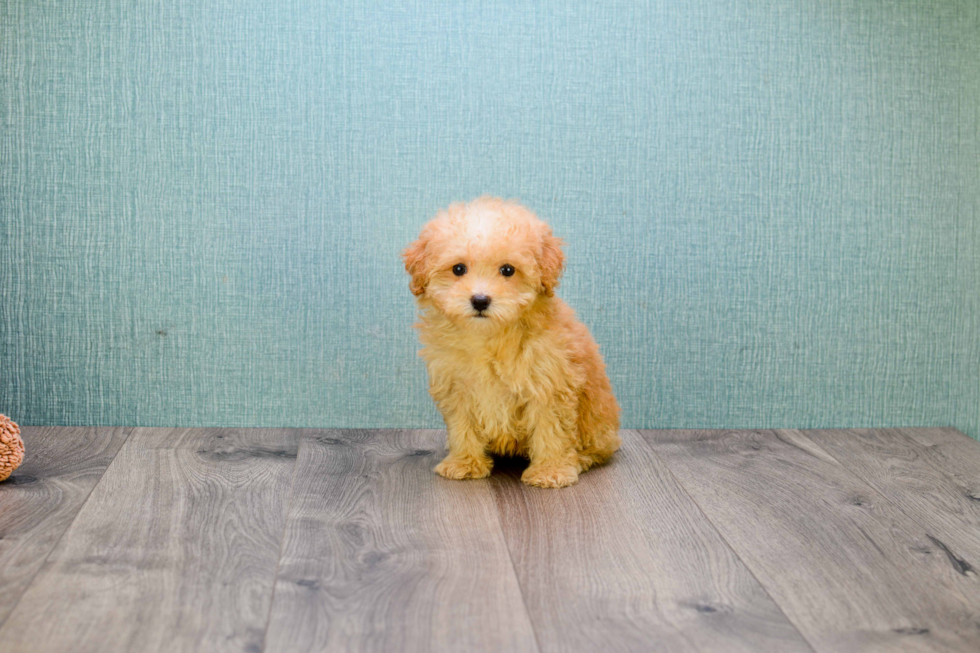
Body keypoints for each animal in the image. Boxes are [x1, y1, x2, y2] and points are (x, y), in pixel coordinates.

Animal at [400, 196, 620, 486]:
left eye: (507, 270)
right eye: (458, 269)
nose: (480, 300)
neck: (490, 337)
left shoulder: (548, 384)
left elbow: (551, 429)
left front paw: (551, 470)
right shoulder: (457, 386)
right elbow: (462, 427)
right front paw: (465, 462)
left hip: (599, 425)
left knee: (598, 449)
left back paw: (580, 459)